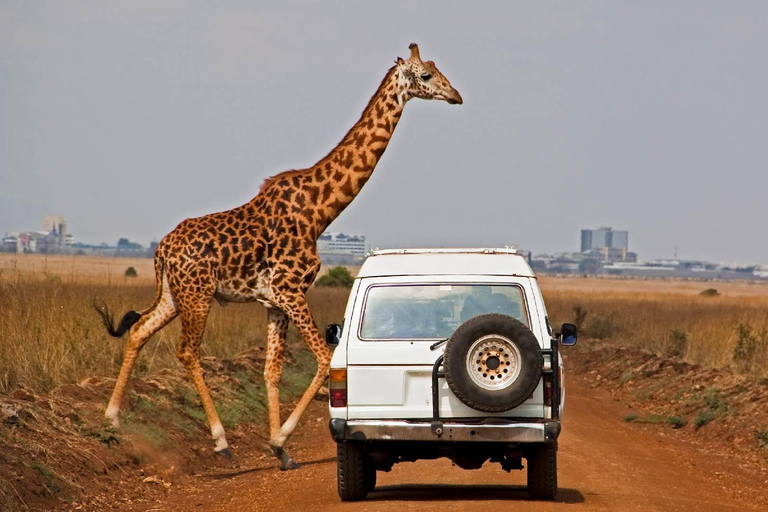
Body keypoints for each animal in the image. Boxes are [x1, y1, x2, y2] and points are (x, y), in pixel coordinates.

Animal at [93, 44, 460, 468]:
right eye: (426, 76)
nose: (456, 96)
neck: (320, 211)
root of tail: (161, 251)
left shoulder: (274, 301)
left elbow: (272, 372)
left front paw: (280, 449)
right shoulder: (290, 290)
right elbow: (323, 359)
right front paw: (281, 439)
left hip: (174, 294)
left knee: (138, 331)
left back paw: (111, 419)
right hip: (198, 296)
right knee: (187, 351)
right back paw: (220, 441)